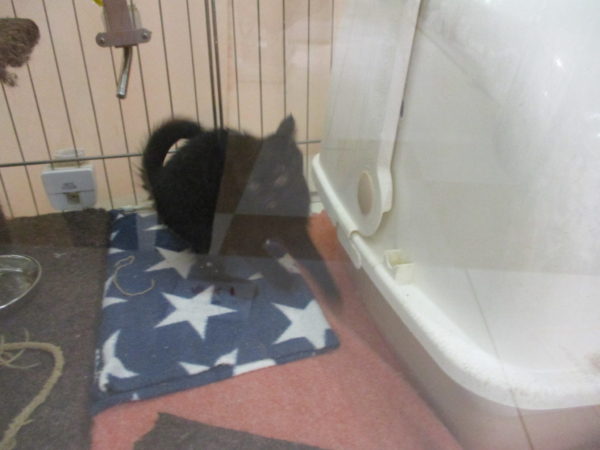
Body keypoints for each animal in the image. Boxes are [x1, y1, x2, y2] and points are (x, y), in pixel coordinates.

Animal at [141, 115, 339, 299]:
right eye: (253, 185)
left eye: (281, 177)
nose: (269, 200)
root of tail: (158, 180)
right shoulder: (241, 235)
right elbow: (265, 261)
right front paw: (285, 281)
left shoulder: (295, 229)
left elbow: (313, 255)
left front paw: (333, 292)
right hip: (207, 226)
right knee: (201, 270)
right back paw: (242, 286)